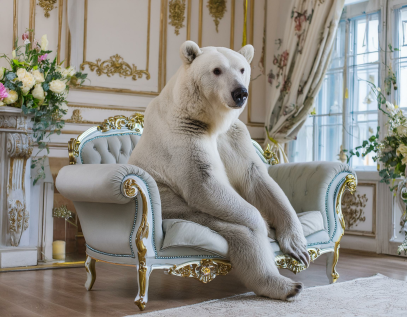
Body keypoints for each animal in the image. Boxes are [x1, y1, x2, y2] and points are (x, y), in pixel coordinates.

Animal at [129, 40, 310, 298]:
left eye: (242, 69)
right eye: (216, 70)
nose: (240, 93)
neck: (208, 119)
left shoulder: (234, 136)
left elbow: (256, 178)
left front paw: (297, 245)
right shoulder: (184, 131)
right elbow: (204, 183)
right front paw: (264, 227)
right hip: (174, 206)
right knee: (238, 233)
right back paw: (285, 285)